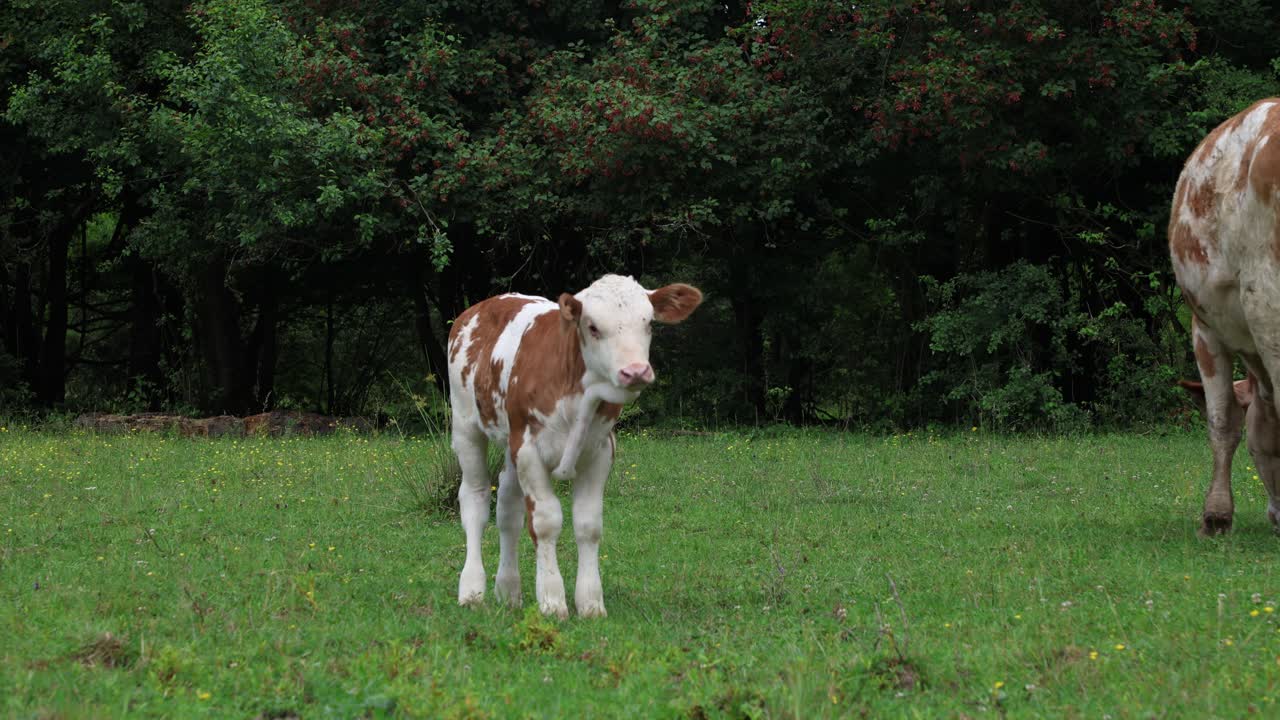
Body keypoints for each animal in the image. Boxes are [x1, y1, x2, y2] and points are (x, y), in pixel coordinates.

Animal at [446, 274, 703, 617]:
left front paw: (591, 602)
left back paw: (508, 590)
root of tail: (484, 305)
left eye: (649, 323)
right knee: (475, 500)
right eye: (592, 326)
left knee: (508, 509)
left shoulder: (600, 450)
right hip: (466, 426)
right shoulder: (529, 448)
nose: (635, 371)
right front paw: (552, 600)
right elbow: (545, 522)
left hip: (510, 443)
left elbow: (588, 524)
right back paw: (472, 589)